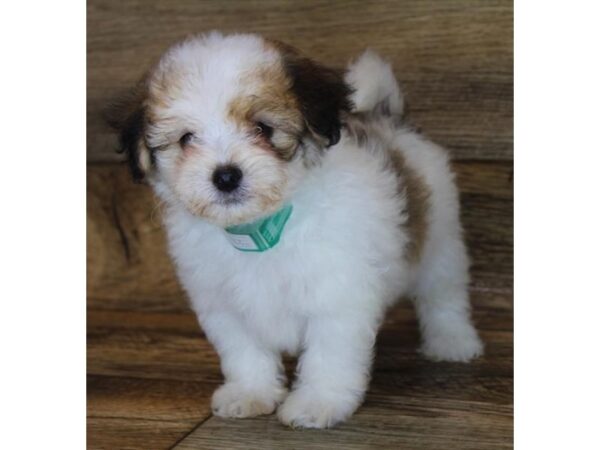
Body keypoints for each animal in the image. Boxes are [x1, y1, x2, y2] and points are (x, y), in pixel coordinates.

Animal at [106, 32, 482, 428]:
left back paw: (453, 343)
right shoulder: (223, 304)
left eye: (263, 129)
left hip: (441, 240)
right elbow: (245, 351)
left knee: (443, 295)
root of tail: (390, 121)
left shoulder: (337, 296)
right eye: (186, 139)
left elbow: (329, 355)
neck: (266, 228)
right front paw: (250, 393)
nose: (225, 176)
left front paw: (318, 403)